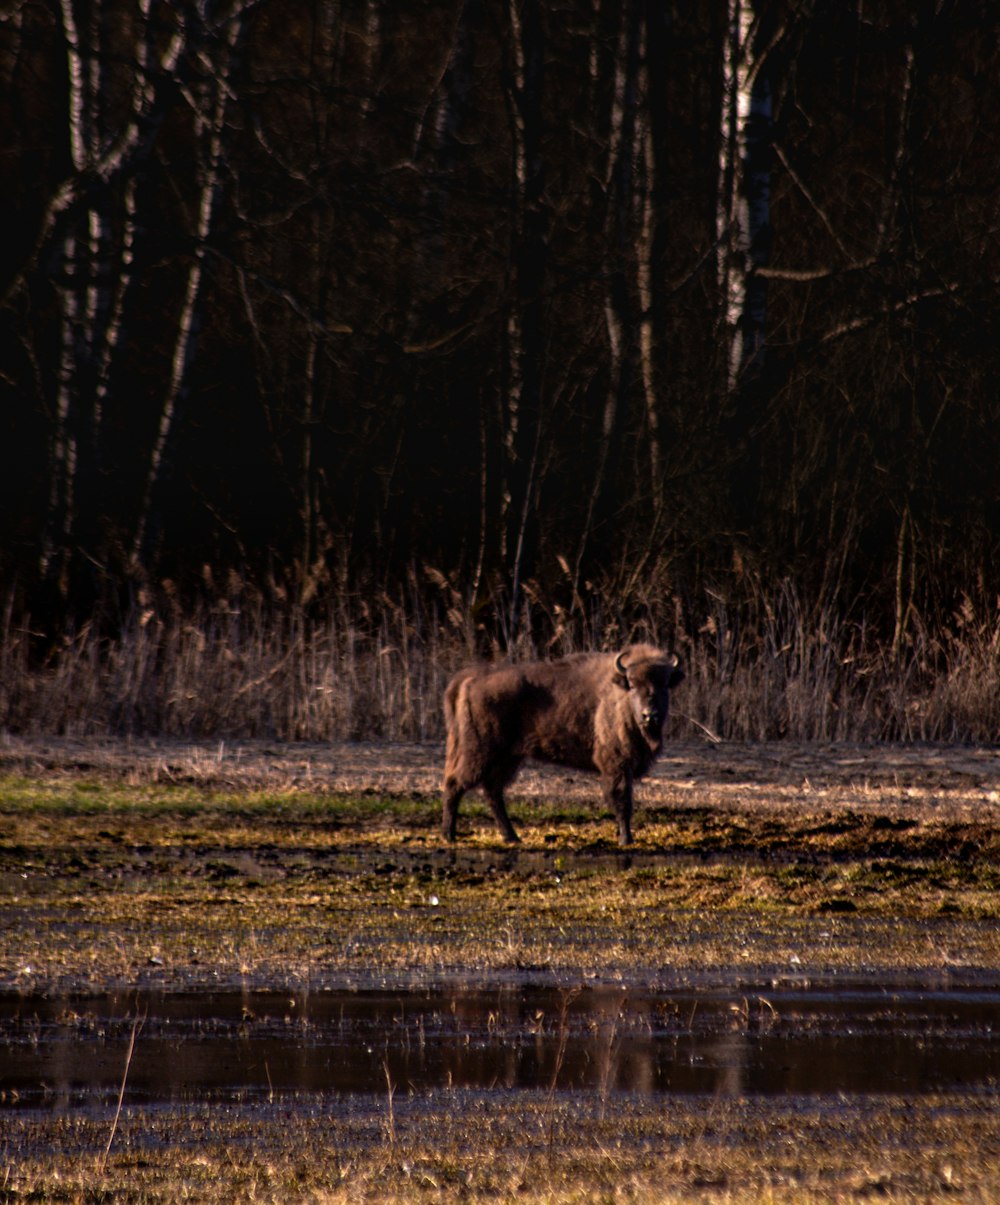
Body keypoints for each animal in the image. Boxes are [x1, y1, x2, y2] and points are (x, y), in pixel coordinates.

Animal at [443, 641, 684, 848]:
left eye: (664, 684)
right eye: (632, 685)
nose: (649, 715)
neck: (620, 694)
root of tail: (470, 678)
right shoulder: (617, 764)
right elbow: (622, 801)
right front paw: (626, 840)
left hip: (508, 758)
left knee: (492, 791)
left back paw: (512, 837)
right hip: (479, 752)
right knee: (455, 783)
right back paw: (449, 836)